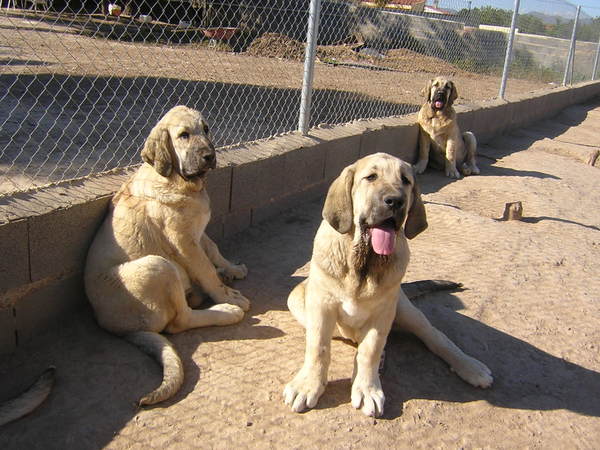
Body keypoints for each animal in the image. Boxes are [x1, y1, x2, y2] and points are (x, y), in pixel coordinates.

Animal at [84, 106, 248, 408]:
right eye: (183, 135)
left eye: (206, 129)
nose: (210, 155)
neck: (178, 181)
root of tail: (116, 328)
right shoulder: (184, 242)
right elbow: (206, 270)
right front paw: (228, 295)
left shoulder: (197, 233)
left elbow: (213, 249)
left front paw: (231, 268)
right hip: (158, 266)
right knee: (180, 321)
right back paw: (225, 311)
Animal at [284, 153, 494, 416]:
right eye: (371, 177)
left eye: (406, 181)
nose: (395, 201)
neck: (362, 265)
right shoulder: (322, 305)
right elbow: (318, 348)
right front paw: (308, 385)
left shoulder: (383, 312)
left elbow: (370, 350)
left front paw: (367, 389)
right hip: (297, 300)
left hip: (405, 310)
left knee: (436, 336)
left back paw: (471, 366)